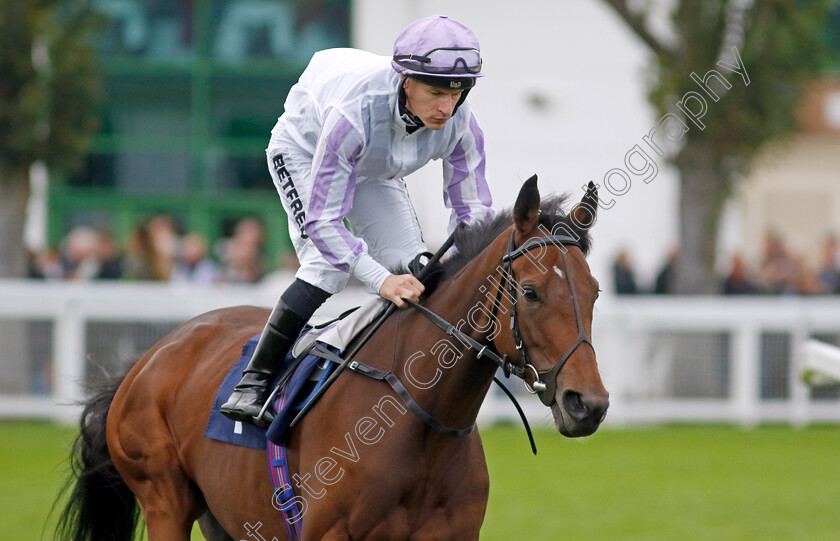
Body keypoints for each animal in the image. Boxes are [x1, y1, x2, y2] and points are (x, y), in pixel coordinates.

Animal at [57, 175, 612, 536]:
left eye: (595, 292)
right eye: (532, 293)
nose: (588, 403)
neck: (419, 422)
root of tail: (148, 359)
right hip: (164, 498)